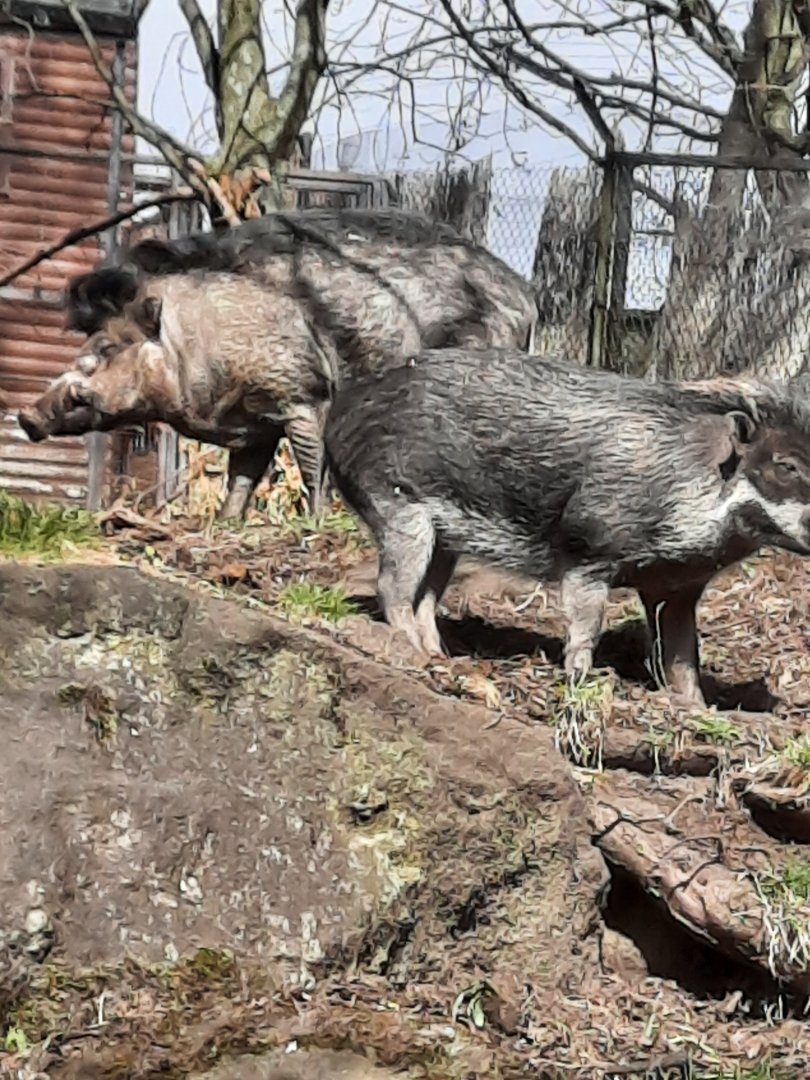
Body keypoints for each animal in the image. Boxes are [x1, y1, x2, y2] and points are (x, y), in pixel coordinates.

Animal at [22, 207, 538, 519]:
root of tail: (524, 296)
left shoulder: (304, 394)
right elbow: (240, 478)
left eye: (110, 349)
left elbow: (312, 470)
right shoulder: (253, 423)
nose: (26, 415)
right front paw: (226, 523)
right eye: (85, 344)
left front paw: (314, 522)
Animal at [322, 349, 810, 709]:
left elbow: (682, 655)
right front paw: (582, 682)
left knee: (425, 597)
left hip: (446, 540)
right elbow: (586, 627)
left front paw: (698, 709)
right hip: (398, 506)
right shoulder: (588, 552)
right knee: (393, 588)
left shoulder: (677, 588)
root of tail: (339, 411)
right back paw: (411, 652)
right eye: (786, 465)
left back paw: (439, 655)